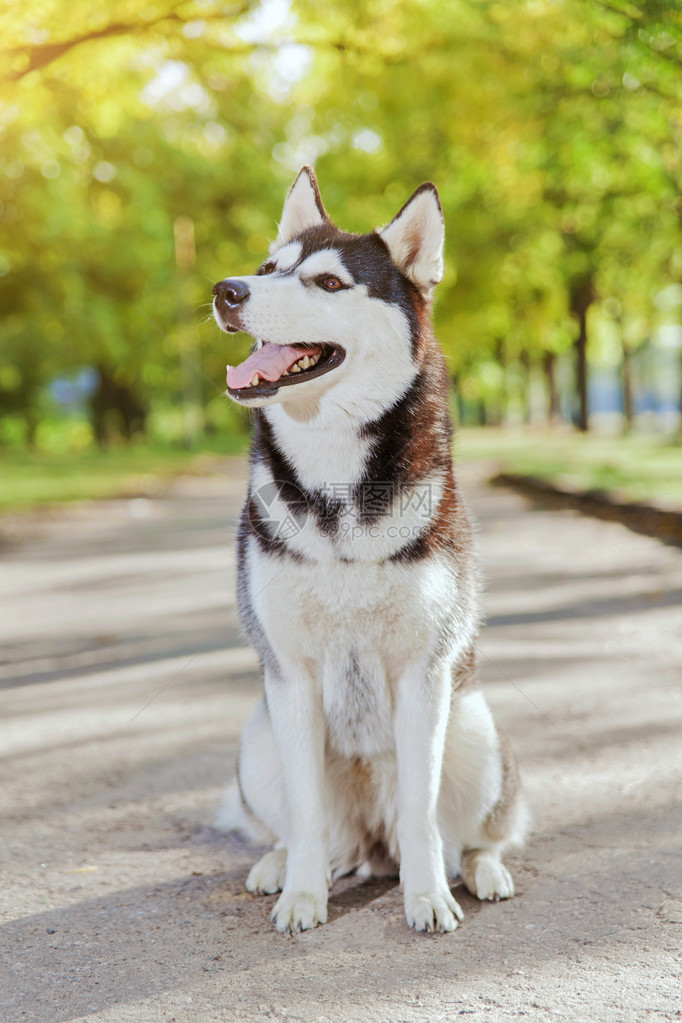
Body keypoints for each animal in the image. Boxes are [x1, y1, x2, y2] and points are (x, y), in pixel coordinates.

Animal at [213, 163, 527, 932]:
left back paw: (480, 870)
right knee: (311, 831)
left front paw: (428, 897)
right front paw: (301, 894)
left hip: (475, 727)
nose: (227, 290)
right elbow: (306, 812)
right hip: (257, 738)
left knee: (470, 832)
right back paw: (281, 866)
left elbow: (421, 811)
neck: (333, 480)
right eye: (268, 268)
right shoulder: (290, 679)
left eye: (328, 282)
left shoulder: (424, 672)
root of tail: (370, 847)